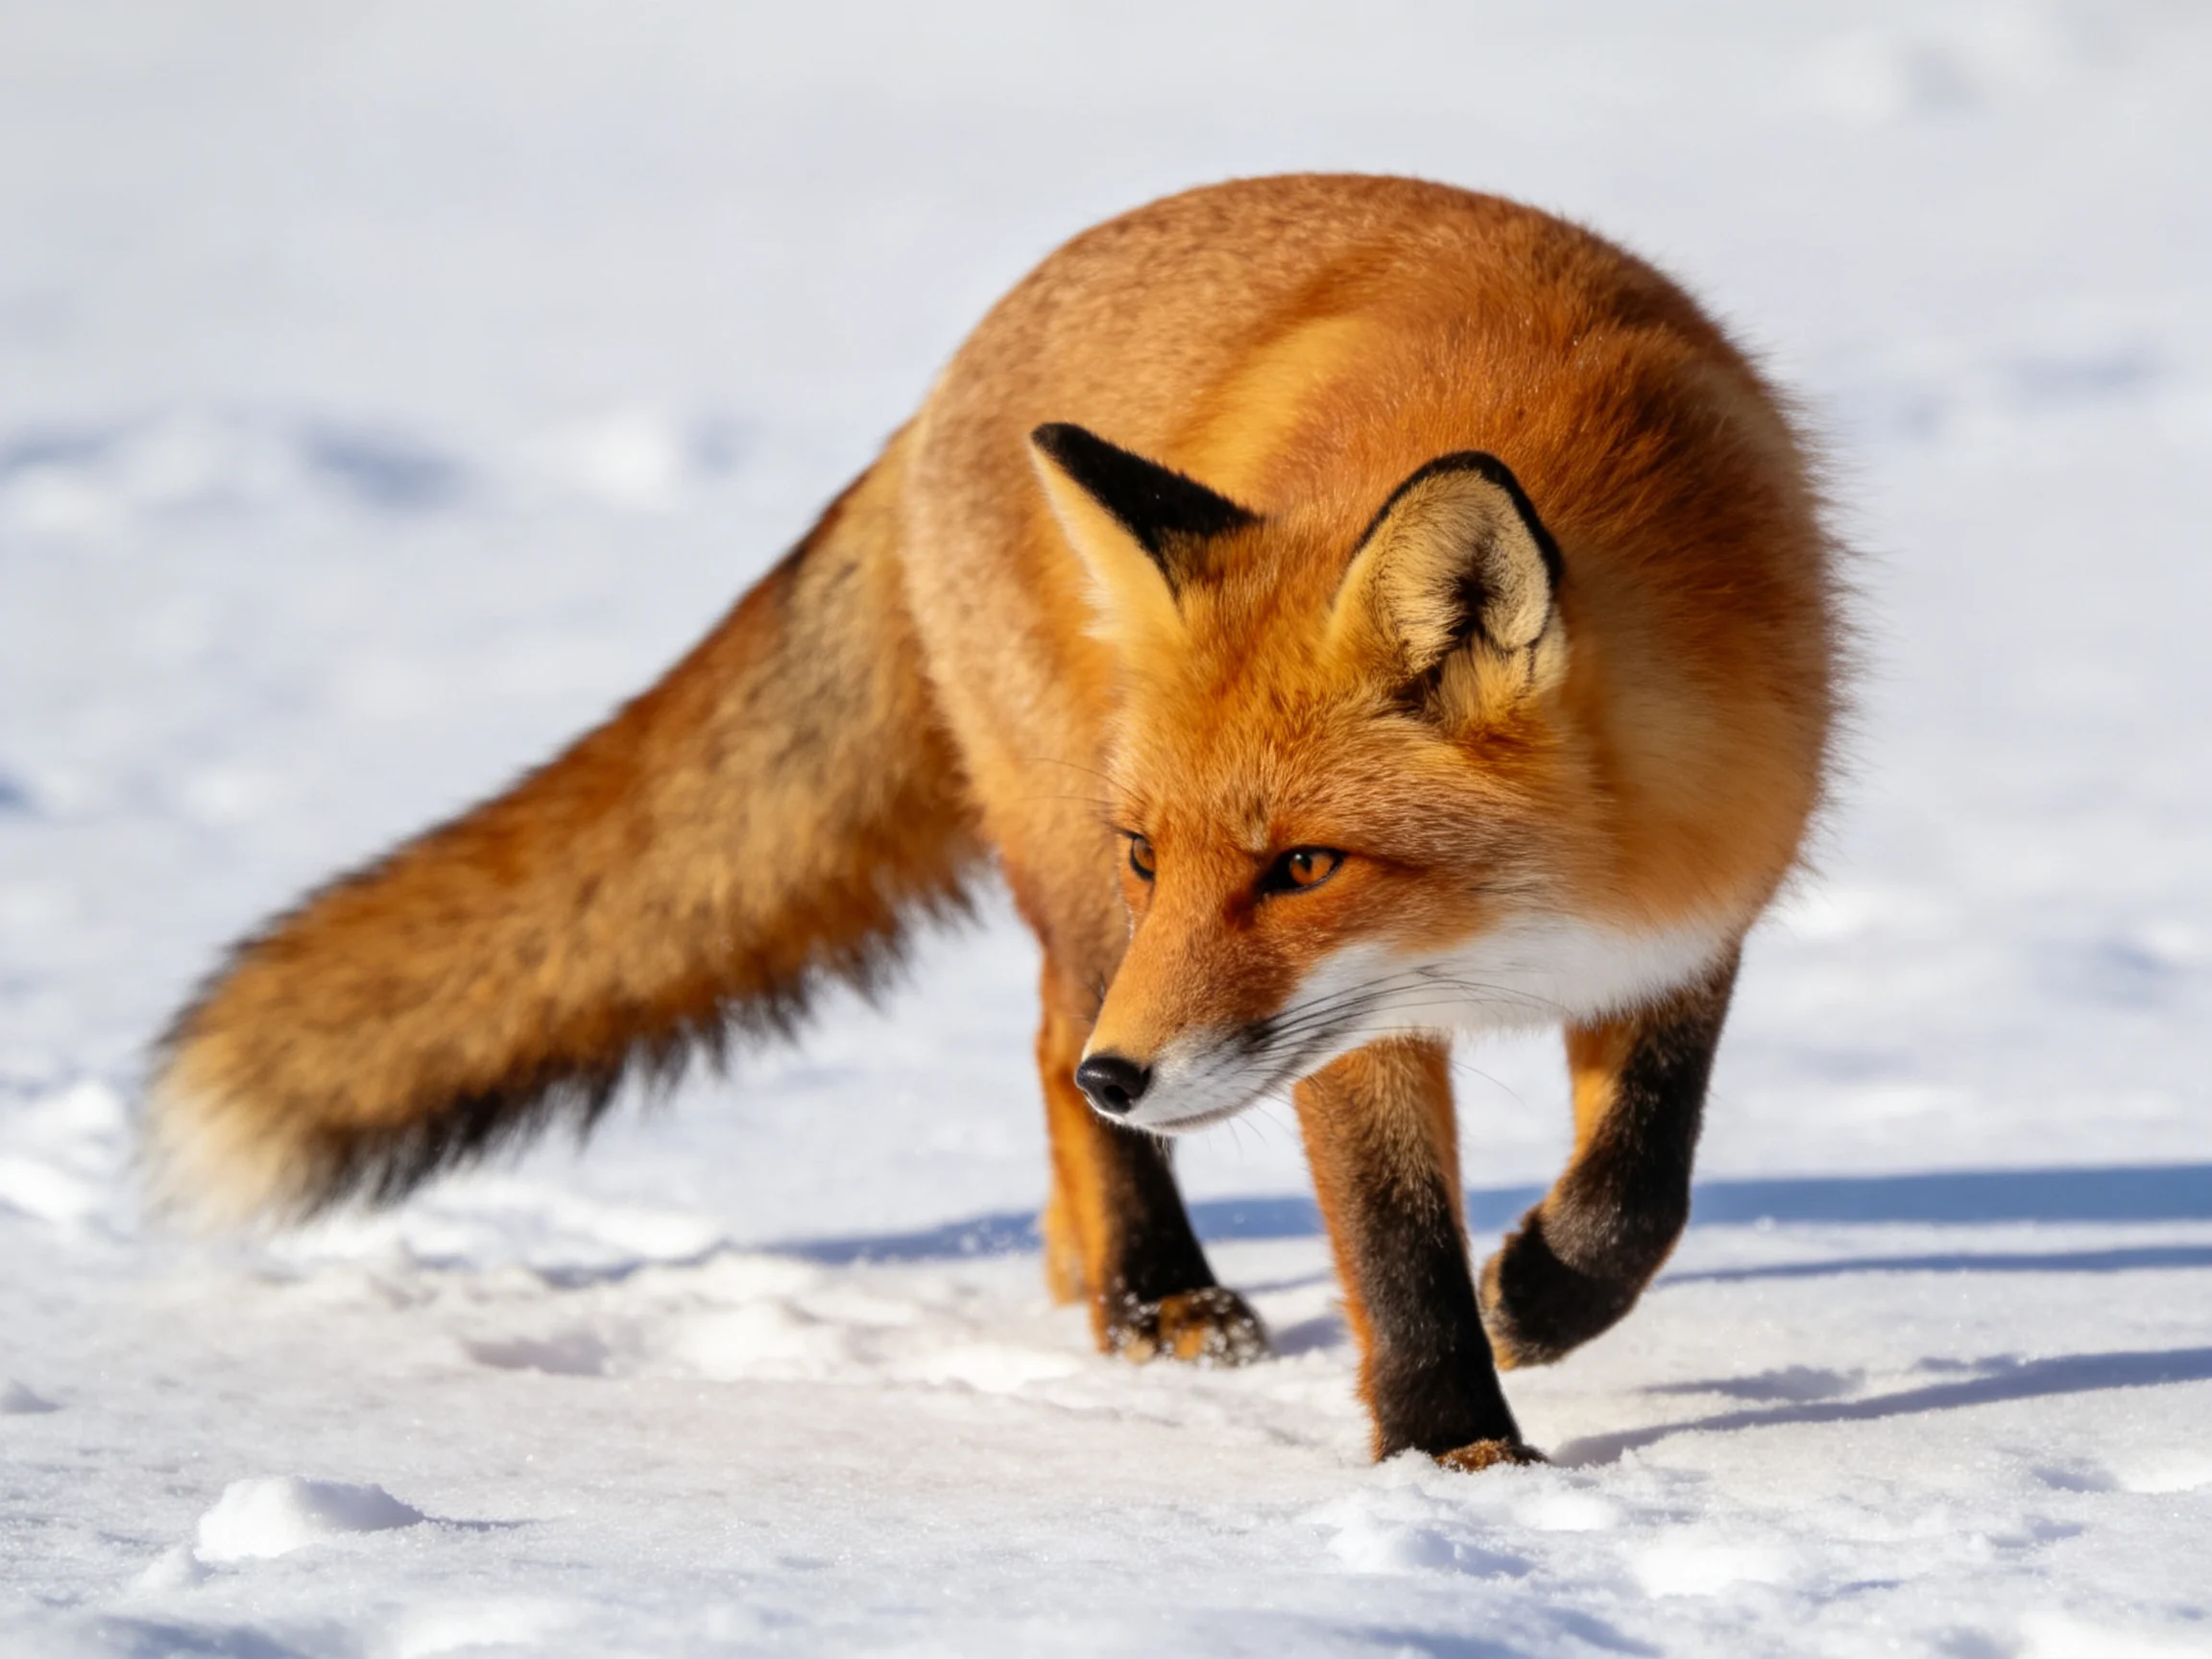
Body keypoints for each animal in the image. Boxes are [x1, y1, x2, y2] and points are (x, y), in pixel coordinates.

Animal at [149, 174, 1840, 1472]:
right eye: (1166, 852)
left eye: (1305, 866)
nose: (1129, 1074)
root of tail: (955, 371)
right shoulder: (1345, 1026)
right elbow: (1395, 1245)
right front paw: (1455, 1461)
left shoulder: (1690, 919)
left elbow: (1642, 1181)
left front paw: (1544, 1298)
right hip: (1076, 890)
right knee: (1043, 1044)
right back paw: (1149, 1293)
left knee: (1050, 1063)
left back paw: (1086, 1263)